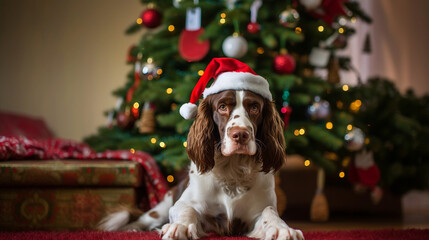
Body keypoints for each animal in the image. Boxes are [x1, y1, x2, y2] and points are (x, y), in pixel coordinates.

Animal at [98, 88, 302, 240]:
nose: (240, 134)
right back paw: (132, 229)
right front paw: (179, 227)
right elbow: (187, 208)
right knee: (143, 219)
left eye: (254, 107)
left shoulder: (256, 212)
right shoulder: (185, 205)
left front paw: (282, 229)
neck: (233, 169)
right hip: (161, 207)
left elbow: (270, 213)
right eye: (222, 107)